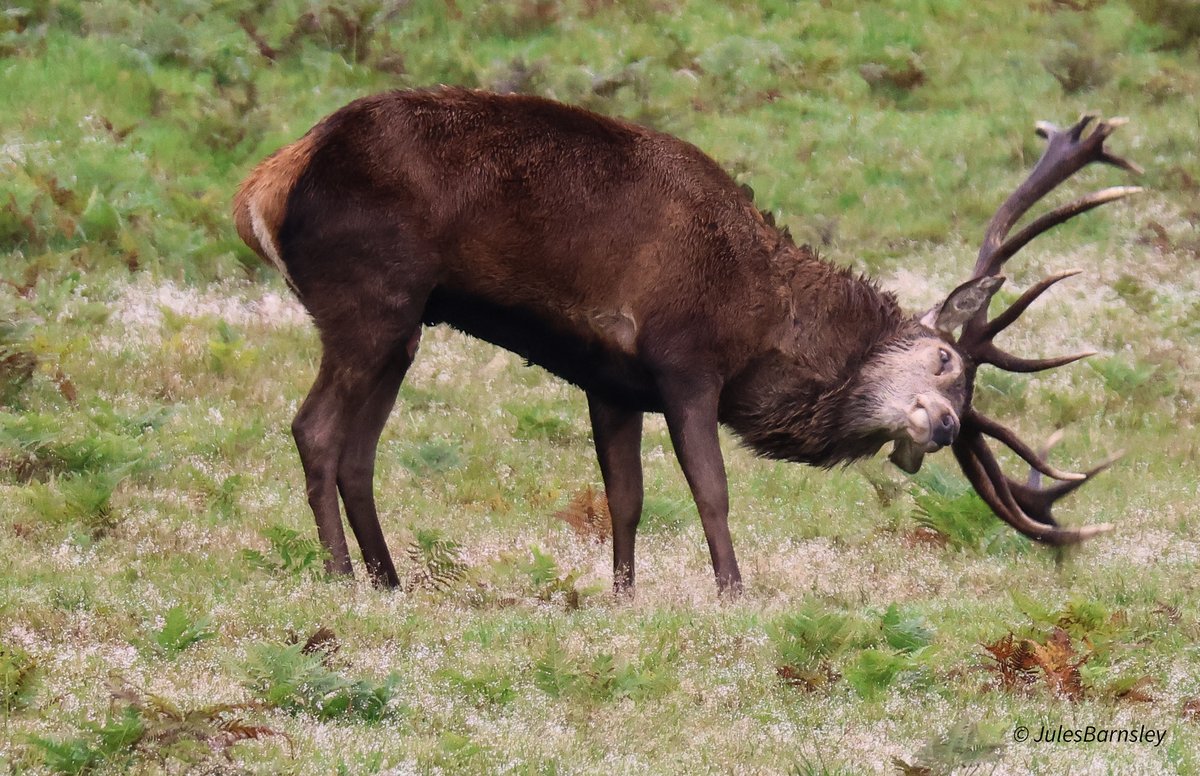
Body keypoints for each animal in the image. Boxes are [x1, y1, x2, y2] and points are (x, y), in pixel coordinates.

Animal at [233, 87, 1140, 595]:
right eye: (946, 360)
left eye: (963, 396)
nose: (947, 425)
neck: (763, 316)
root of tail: (264, 185)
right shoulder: (685, 360)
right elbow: (711, 489)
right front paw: (735, 592)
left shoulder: (609, 380)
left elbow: (625, 498)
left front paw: (623, 596)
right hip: (372, 295)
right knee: (315, 429)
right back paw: (342, 578)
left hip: (403, 325)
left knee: (358, 451)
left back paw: (390, 580)